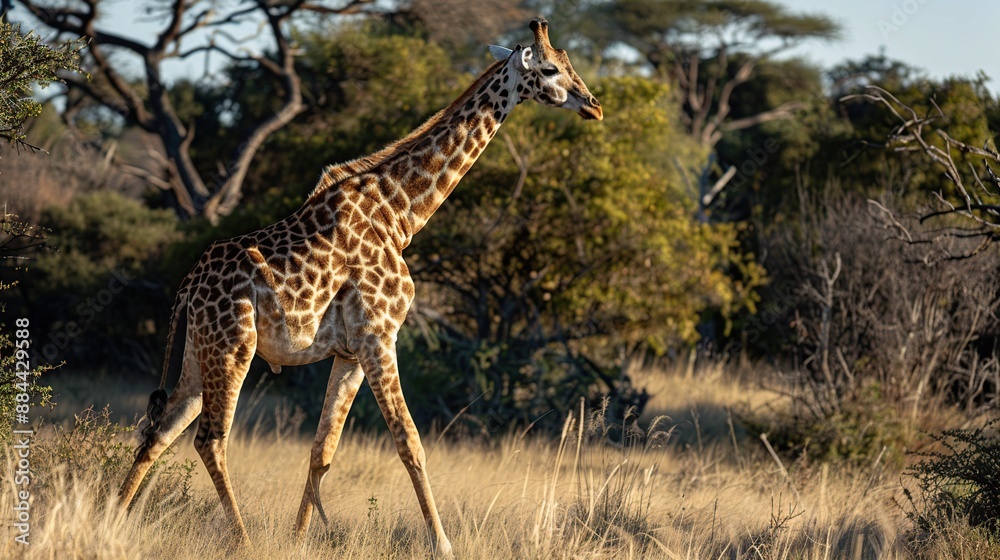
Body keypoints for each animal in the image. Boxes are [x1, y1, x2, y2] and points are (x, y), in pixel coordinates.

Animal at [118, 17, 602, 556]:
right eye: (551, 68)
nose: (594, 104)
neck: (401, 213)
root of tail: (188, 285)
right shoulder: (379, 336)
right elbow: (409, 441)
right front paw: (443, 543)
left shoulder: (349, 352)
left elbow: (322, 451)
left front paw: (298, 539)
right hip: (233, 346)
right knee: (209, 438)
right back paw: (241, 539)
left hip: (198, 353)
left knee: (160, 430)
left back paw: (109, 520)